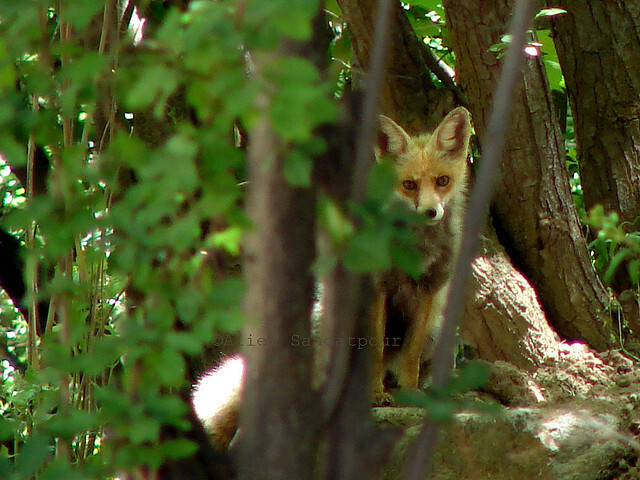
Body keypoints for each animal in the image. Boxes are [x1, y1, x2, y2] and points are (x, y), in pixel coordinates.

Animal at [372, 106, 472, 402]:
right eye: (409, 185)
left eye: (443, 181)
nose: (430, 212)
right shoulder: (379, 285)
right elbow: (375, 349)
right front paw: (374, 393)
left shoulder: (429, 287)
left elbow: (412, 352)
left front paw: (410, 391)